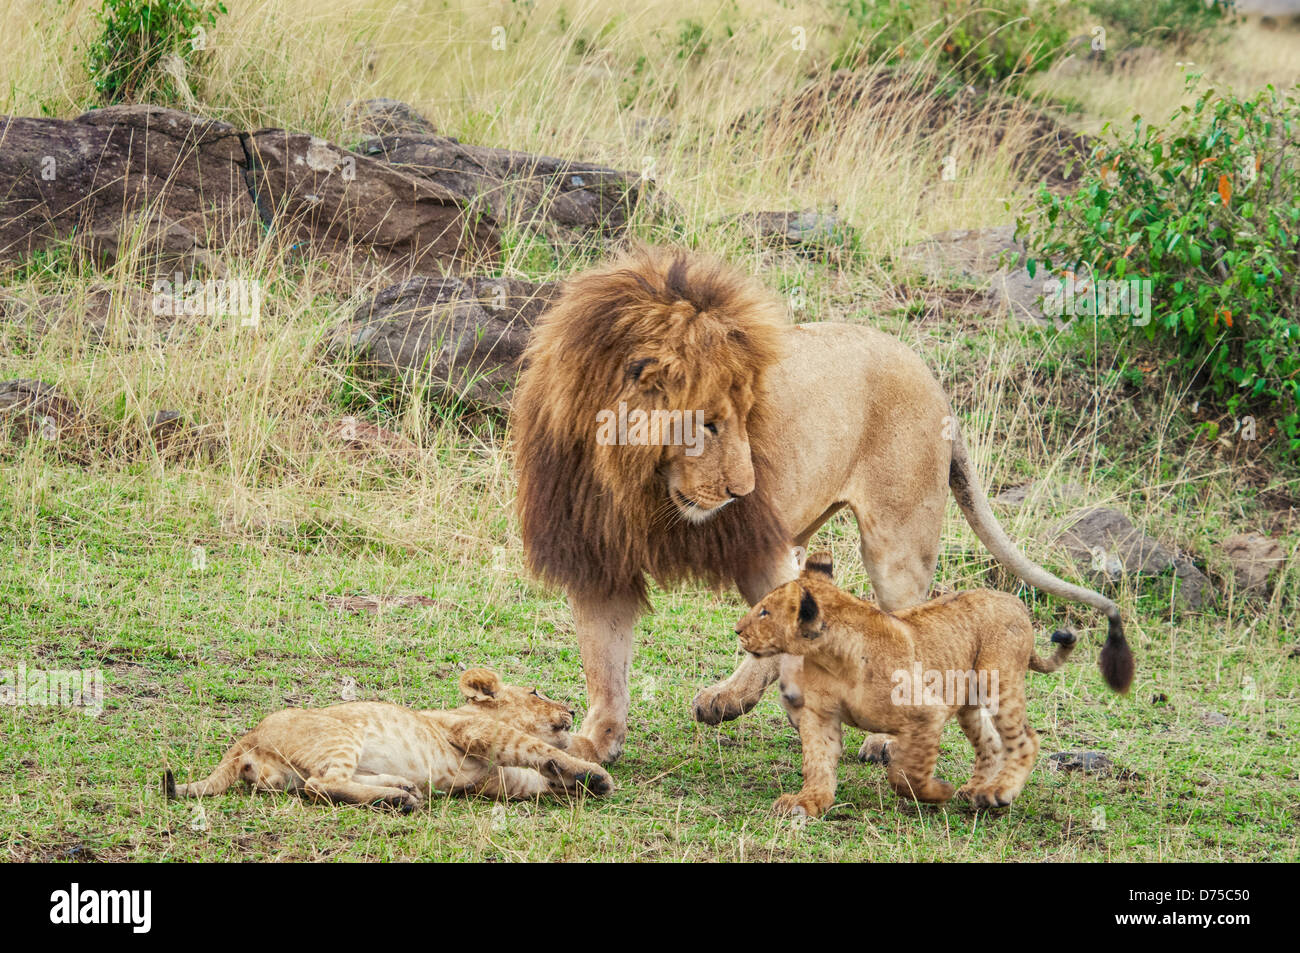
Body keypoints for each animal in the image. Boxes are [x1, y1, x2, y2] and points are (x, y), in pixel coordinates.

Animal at [512, 245, 1133, 764]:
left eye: (746, 416)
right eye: (709, 424)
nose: (742, 491)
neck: (636, 481)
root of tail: (931, 377)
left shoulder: (753, 540)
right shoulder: (597, 551)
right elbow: (604, 660)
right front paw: (597, 741)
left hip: (896, 541)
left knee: (901, 630)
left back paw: (878, 736)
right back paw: (728, 699)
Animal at [743, 553, 1086, 816]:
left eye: (765, 612)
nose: (737, 630)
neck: (831, 657)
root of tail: (1015, 602)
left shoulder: (927, 712)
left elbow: (907, 774)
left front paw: (937, 791)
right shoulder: (821, 716)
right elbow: (818, 761)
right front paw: (808, 802)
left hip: (997, 680)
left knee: (1026, 739)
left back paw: (998, 792)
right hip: (967, 699)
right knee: (991, 741)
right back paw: (976, 788)